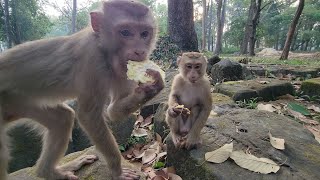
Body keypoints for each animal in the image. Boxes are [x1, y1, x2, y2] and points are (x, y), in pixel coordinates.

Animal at [0, 0, 165, 179]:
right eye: (125, 32)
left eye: (144, 33)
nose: (140, 51)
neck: (103, 50)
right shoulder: (91, 59)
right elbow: (89, 116)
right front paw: (118, 171)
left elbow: (113, 111)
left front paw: (152, 87)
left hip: (19, 102)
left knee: (62, 119)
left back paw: (49, 171)